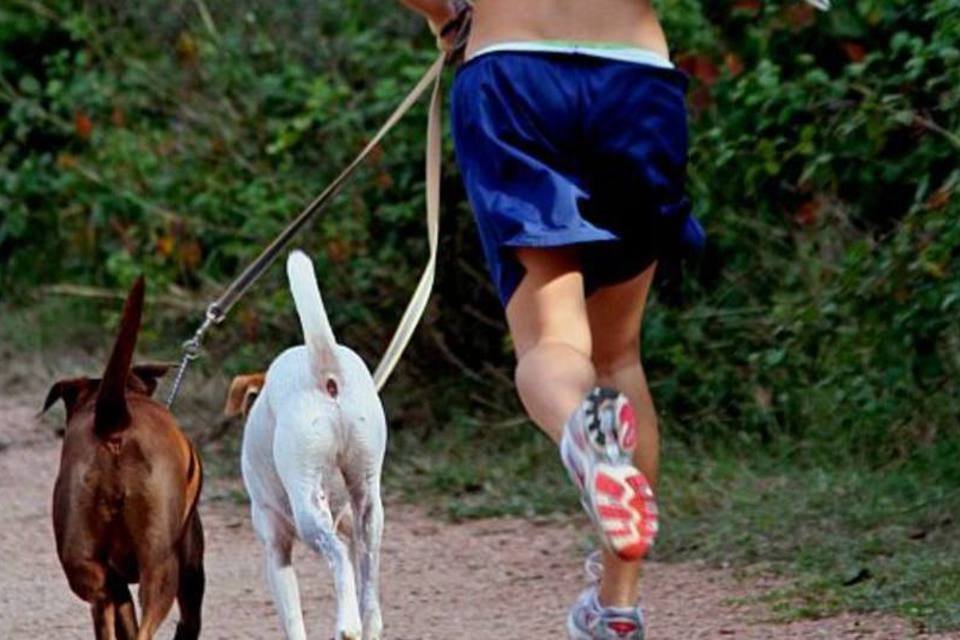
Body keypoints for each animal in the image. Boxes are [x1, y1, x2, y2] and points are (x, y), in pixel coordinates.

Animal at [44, 278, 205, 636]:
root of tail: (113, 420)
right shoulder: (191, 563)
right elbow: (189, 621)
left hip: (86, 568)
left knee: (108, 609)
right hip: (161, 566)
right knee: (148, 624)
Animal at [225, 250, 386, 640]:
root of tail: (325, 369)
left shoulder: (275, 548)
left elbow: (293, 618)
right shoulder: (351, 526)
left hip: (308, 506)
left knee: (339, 559)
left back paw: (346, 626)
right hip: (369, 511)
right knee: (368, 594)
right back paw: (361, 624)